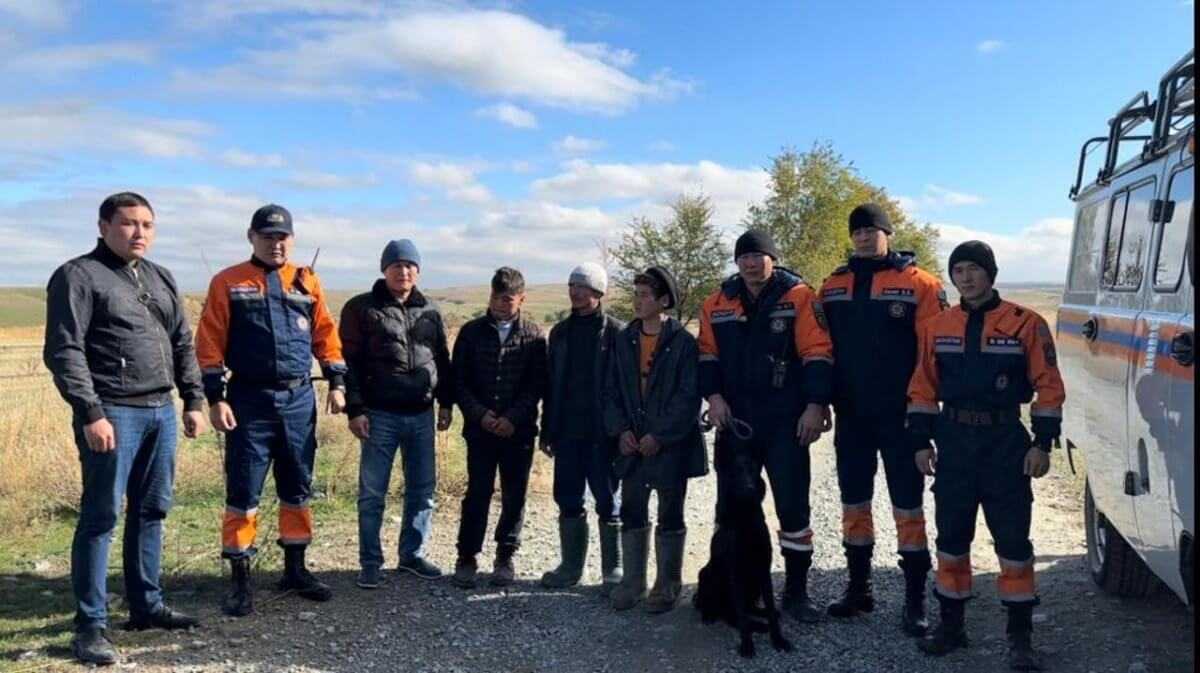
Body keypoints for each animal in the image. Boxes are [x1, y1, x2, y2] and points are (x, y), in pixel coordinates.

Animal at [691, 436, 792, 657]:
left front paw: (778, 639)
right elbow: (742, 619)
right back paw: (712, 615)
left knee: (745, 609)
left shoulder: (763, 570)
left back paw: (760, 616)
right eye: (736, 472)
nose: (748, 488)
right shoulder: (735, 573)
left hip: (753, 584)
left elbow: (770, 608)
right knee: (729, 614)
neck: (745, 518)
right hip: (708, 574)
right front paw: (747, 645)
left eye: (752, 471)